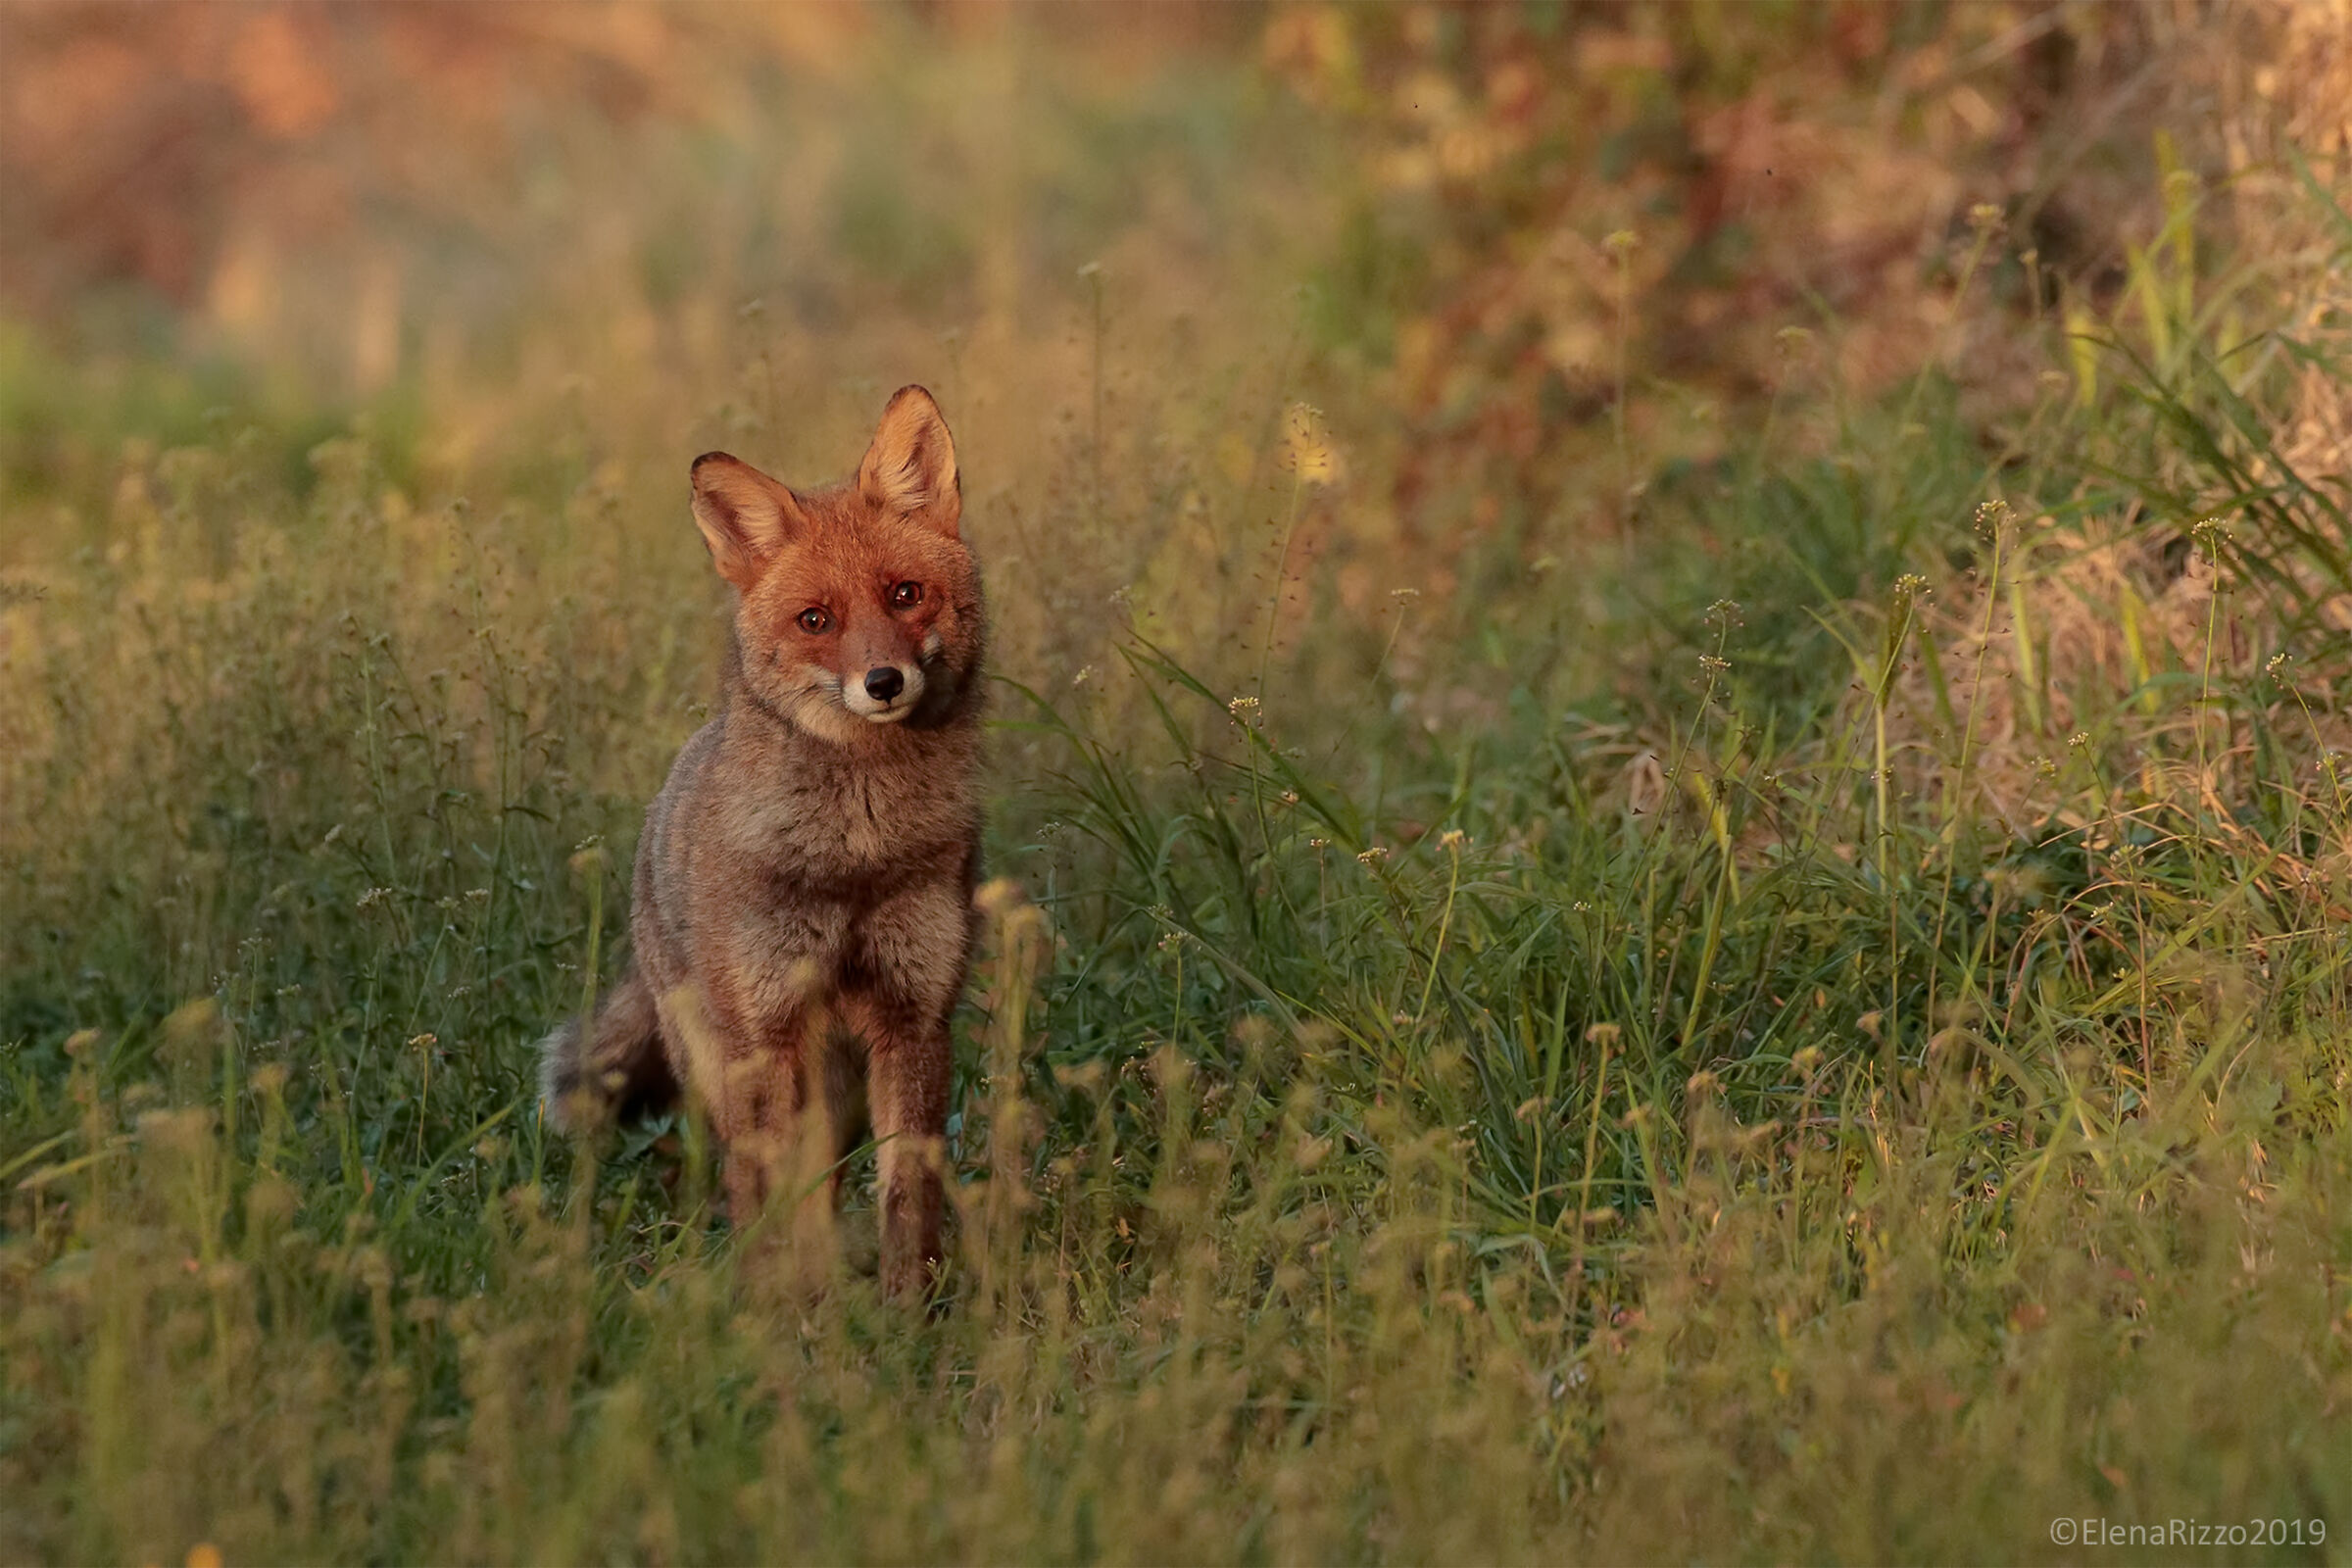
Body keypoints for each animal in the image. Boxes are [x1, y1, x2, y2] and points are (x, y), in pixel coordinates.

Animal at [539, 385, 984, 1299]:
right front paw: (789, 1317)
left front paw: (907, 1312)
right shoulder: (768, 1029)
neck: (856, 854)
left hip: (837, 1091)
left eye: (905, 594)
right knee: (751, 1187)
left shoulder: (916, 1015)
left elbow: (907, 1195)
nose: (882, 682)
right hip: (733, 1065)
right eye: (817, 620)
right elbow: (778, 1201)